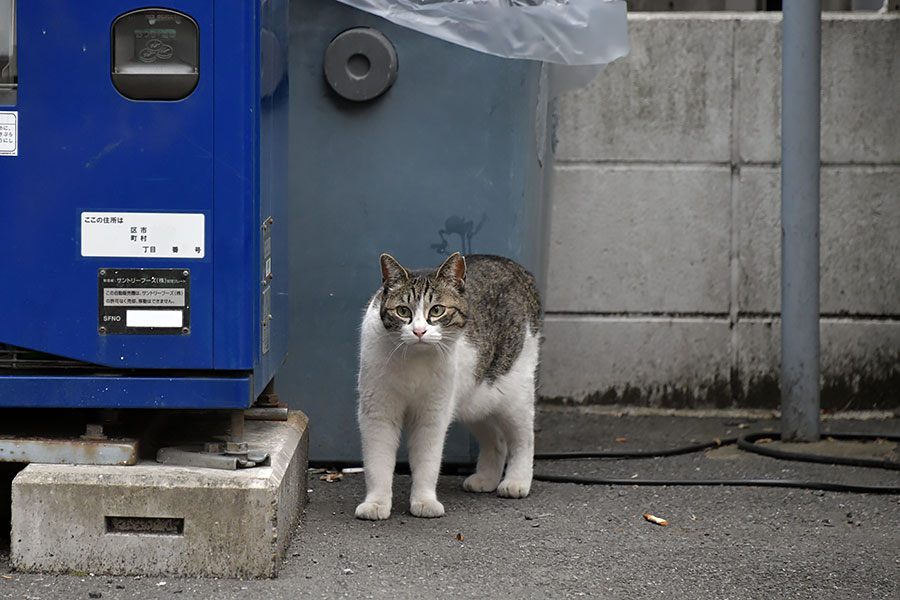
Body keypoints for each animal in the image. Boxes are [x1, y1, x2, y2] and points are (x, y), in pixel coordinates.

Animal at [356, 251, 540, 516]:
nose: (419, 331)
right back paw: (486, 478)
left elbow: (428, 461)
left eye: (437, 310)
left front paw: (424, 501)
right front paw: (376, 503)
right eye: (403, 311)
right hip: (474, 401)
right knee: (496, 438)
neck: (414, 361)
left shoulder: (432, 414)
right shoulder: (378, 411)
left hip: (514, 393)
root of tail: (511, 265)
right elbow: (377, 462)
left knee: (523, 438)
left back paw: (517, 481)